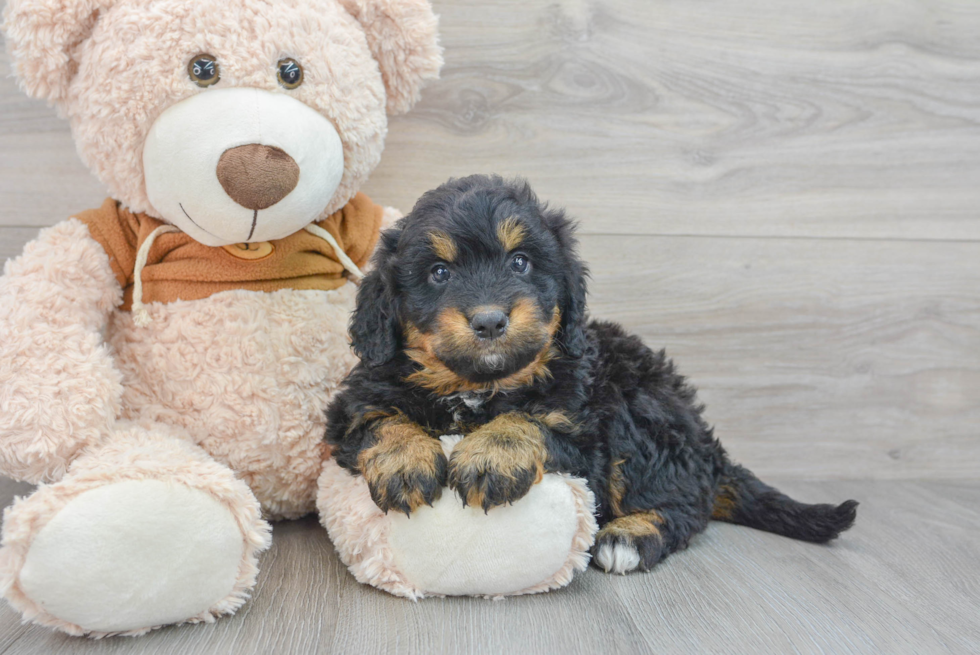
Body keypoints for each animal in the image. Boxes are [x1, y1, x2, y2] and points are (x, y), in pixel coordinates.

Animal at [324, 174, 856, 576]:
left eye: (521, 262)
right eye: (439, 273)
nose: (491, 321)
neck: (478, 387)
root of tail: (709, 449)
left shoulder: (585, 434)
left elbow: (534, 420)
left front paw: (493, 453)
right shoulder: (352, 403)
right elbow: (378, 418)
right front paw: (405, 460)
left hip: (641, 412)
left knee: (687, 506)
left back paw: (631, 539)